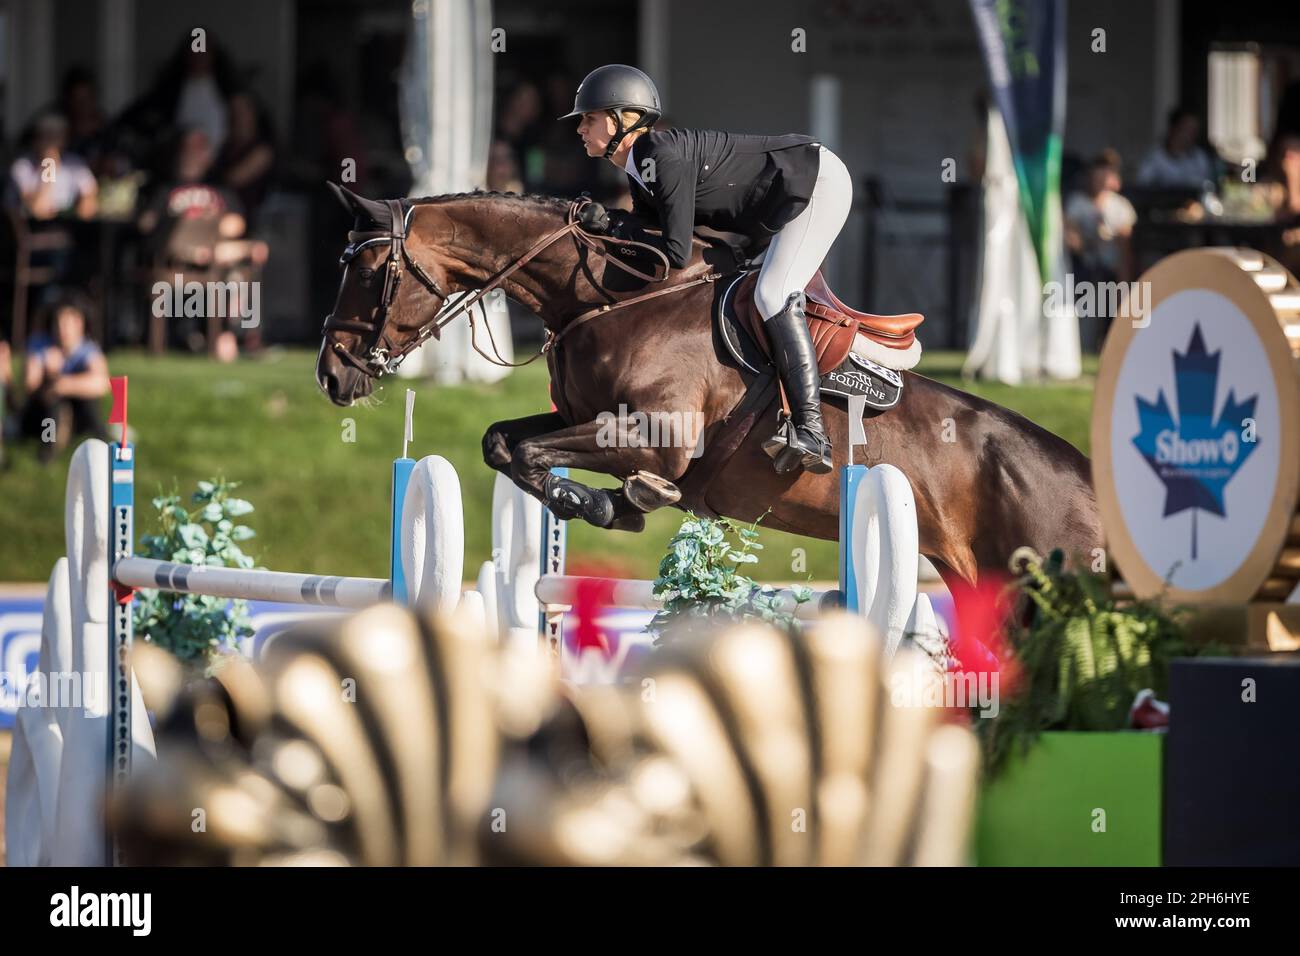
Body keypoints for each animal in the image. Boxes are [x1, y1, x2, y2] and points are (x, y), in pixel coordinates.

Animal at [314, 184, 1097, 590]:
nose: (332, 372)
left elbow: (543, 456)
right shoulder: (587, 418)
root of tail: (1086, 480)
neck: (609, 297)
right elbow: (503, 443)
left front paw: (620, 503)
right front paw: (602, 504)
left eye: (369, 270)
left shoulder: (656, 440)